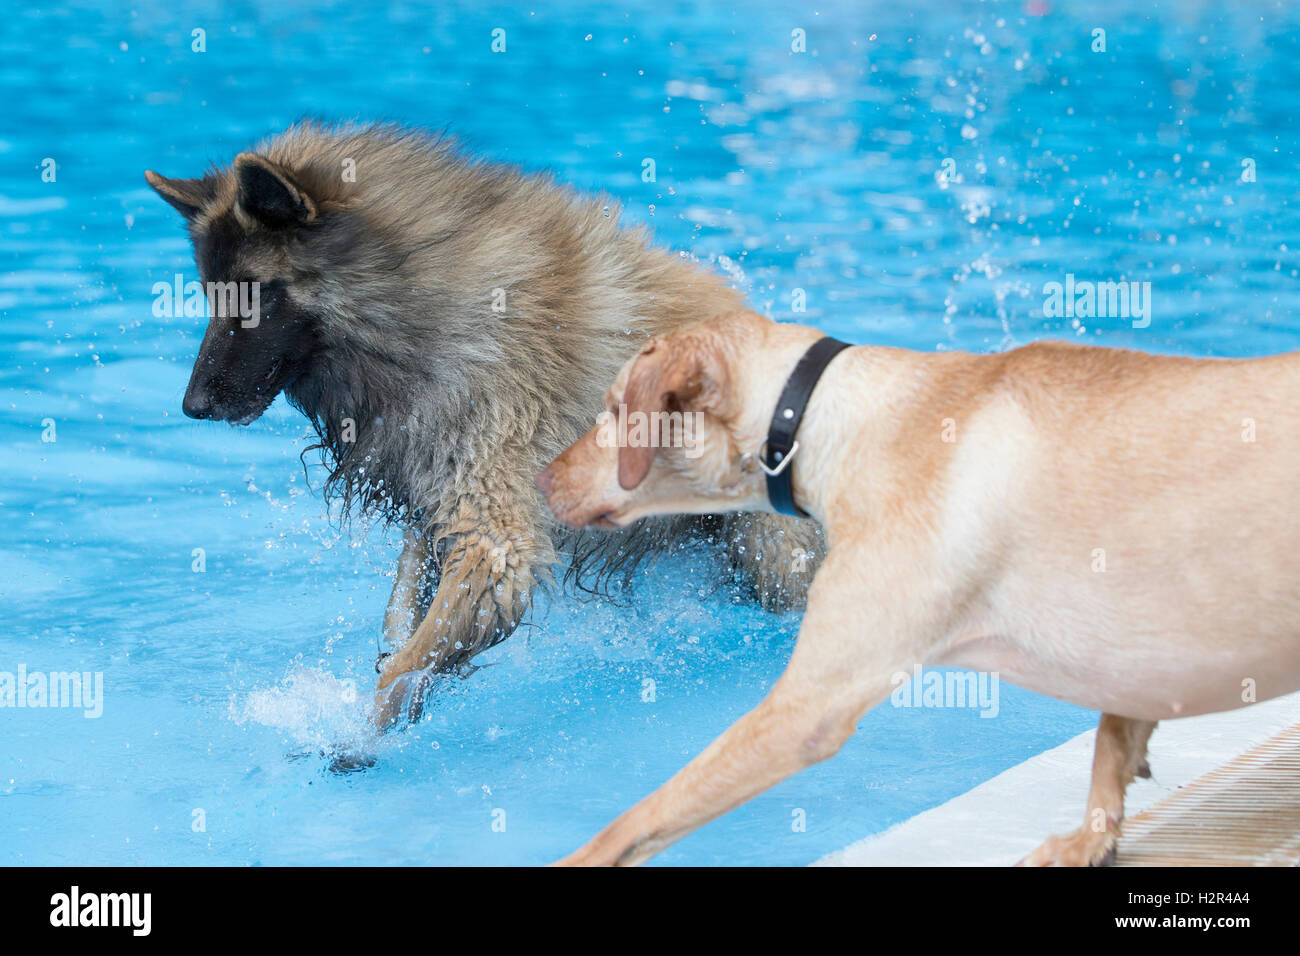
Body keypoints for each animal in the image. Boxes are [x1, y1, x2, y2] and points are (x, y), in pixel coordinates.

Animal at [535, 312, 1300, 868]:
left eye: (613, 409)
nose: (541, 479)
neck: (825, 416)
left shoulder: (804, 710)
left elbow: (645, 813)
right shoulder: (1137, 651)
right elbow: (1114, 737)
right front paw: (1094, 834)